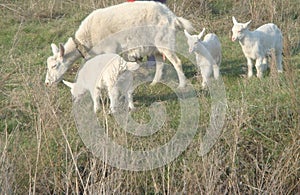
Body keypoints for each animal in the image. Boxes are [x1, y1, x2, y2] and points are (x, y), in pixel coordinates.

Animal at [45, 1, 195, 88]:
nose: (47, 83)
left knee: (177, 62)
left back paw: (182, 86)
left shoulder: (110, 49)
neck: (86, 41)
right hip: (155, 45)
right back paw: (154, 83)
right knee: (159, 62)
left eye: (54, 66)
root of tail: (173, 17)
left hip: (165, 41)